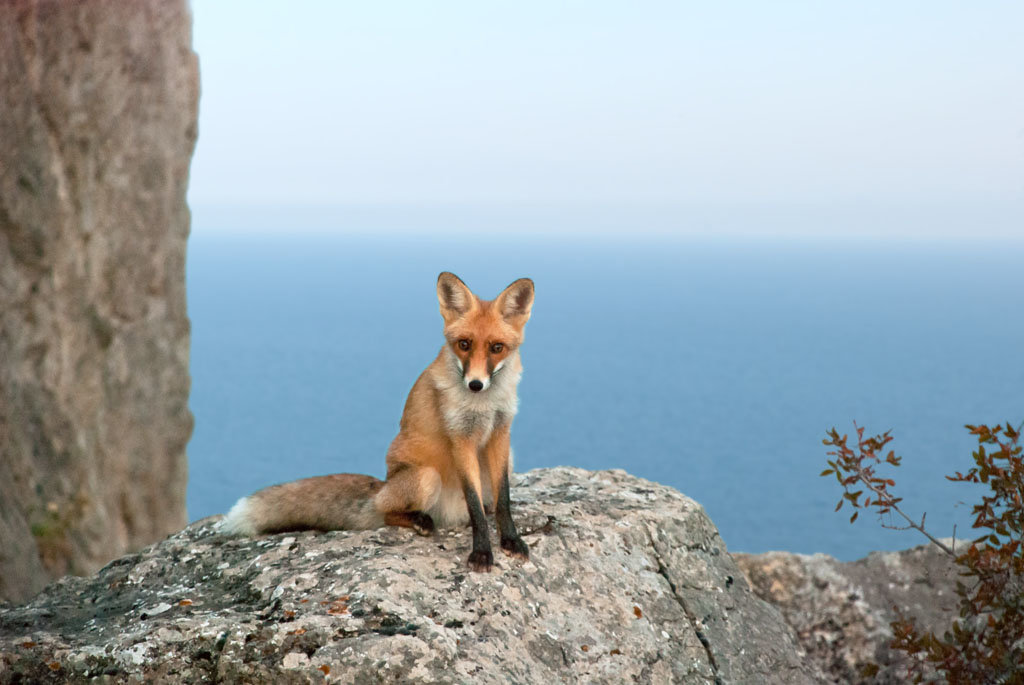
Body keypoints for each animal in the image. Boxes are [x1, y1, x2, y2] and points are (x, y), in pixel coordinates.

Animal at [219, 272, 532, 573]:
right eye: (464, 345)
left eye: (497, 348)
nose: (475, 384)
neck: (485, 405)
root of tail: (382, 485)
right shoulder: (460, 438)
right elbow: (474, 507)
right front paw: (482, 553)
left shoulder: (501, 432)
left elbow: (503, 500)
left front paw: (511, 540)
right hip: (425, 477)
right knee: (387, 512)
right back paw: (420, 520)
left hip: (509, 458)